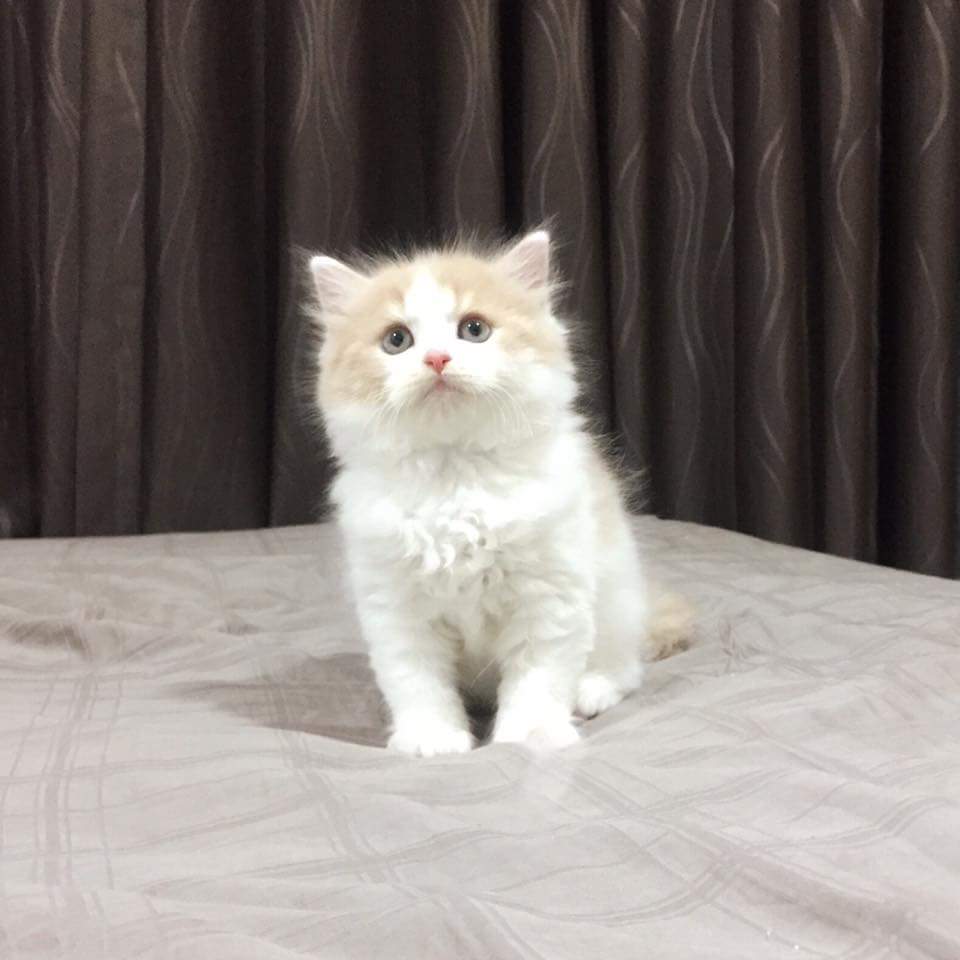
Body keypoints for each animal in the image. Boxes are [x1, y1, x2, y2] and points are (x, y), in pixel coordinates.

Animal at [307, 231, 688, 756]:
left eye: (474, 330)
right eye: (397, 340)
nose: (437, 359)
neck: (456, 477)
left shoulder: (550, 594)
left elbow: (537, 678)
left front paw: (530, 735)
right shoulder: (396, 606)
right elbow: (417, 682)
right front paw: (432, 739)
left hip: (617, 600)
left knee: (626, 668)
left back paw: (591, 691)